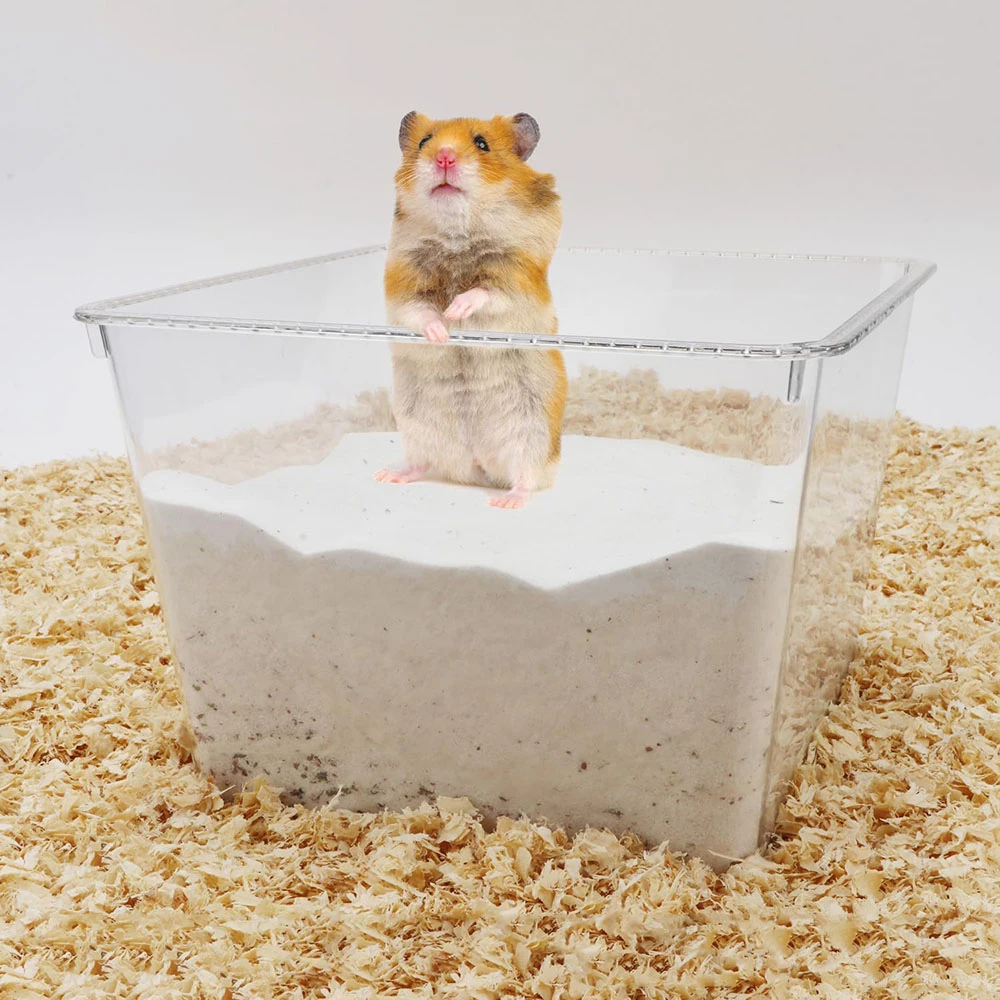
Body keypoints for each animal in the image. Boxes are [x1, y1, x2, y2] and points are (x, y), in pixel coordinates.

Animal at [377, 111, 565, 510]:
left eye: (482, 144)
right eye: (424, 142)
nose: (444, 158)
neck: (456, 233)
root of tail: (477, 467)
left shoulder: (517, 280)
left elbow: (483, 292)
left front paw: (456, 311)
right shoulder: (402, 285)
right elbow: (419, 311)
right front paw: (441, 332)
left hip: (533, 433)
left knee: (526, 476)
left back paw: (507, 502)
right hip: (415, 426)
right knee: (421, 463)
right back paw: (388, 475)